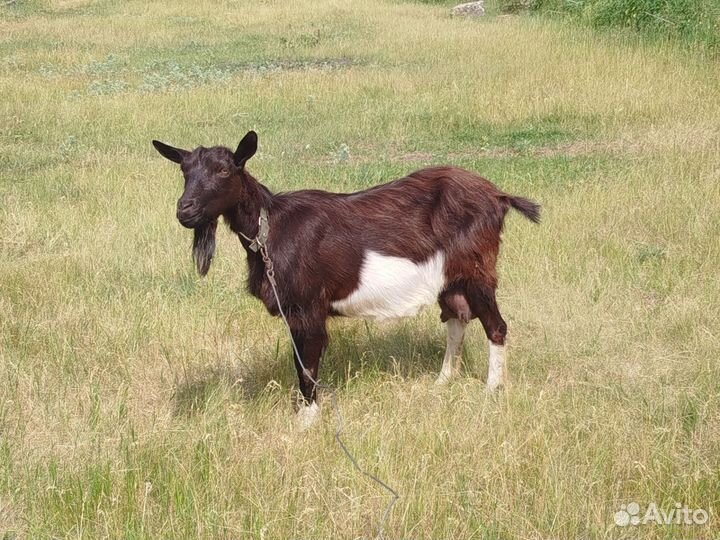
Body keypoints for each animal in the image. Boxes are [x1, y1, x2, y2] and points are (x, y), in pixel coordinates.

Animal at [152, 131, 540, 427]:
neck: (269, 226)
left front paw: (306, 421)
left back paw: (492, 390)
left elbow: (307, 365)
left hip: (477, 269)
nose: (185, 211)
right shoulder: (293, 311)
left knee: (495, 325)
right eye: (184, 171)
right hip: (451, 278)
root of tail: (498, 196)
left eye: (223, 170)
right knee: (457, 316)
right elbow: (299, 361)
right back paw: (442, 381)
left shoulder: (308, 306)